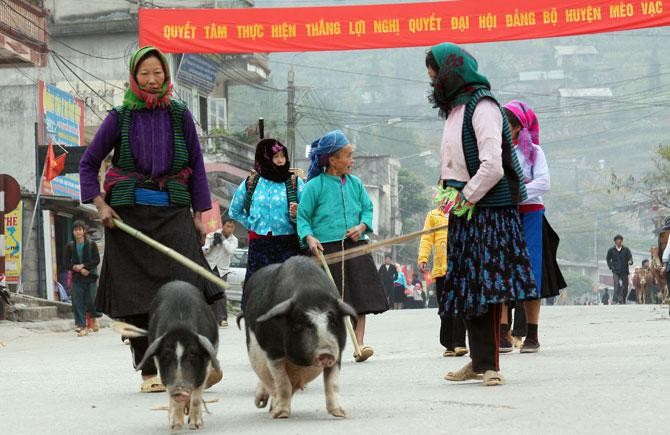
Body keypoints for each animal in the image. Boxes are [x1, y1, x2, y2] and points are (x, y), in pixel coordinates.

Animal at [136, 282, 223, 430]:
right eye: (166, 356)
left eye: (193, 354)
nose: (179, 390)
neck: (180, 325)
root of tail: (177, 282)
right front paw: (175, 426)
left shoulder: (206, 364)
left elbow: (197, 396)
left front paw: (196, 425)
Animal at [240, 258, 360, 420]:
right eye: (299, 324)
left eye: (333, 322)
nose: (326, 352)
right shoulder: (273, 353)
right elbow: (283, 384)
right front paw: (281, 414)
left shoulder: (338, 352)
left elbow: (333, 383)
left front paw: (341, 414)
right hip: (255, 354)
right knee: (270, 382)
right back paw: (266, 406)